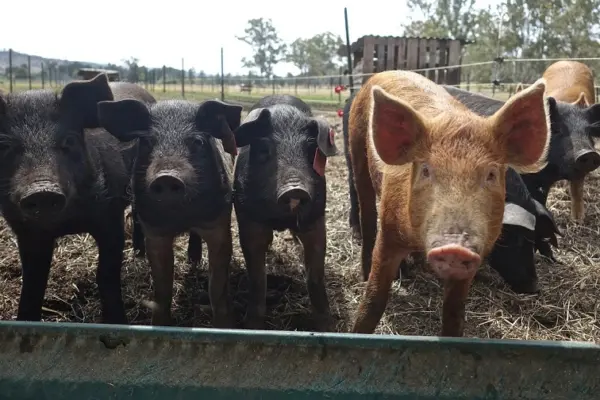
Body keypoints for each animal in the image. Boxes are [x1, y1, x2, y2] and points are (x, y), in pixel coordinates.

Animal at [0, 72, 148, 324]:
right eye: (4, 144)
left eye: (68, 141)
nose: (42, 190)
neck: (68, 224)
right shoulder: (25, 231)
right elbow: (33, 281)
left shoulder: (111, 216)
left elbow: (106, 273)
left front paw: (117, 323)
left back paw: (140, 254)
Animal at [96, 97, 241, 328]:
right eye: (148, 142)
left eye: (197, 141)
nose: (167, 176)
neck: (180, 217)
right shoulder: (154, 231)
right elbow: (162, 286)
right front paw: (160, 324)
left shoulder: (219, 224)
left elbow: (216, 285)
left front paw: (224, 326)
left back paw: (194, 259)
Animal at [233, 94, 338, 332]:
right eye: (264, 149)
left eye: (310, 149)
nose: (295, 188)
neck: (281, 218)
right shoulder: (249, 219)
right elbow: (257, 278)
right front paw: (251, 326)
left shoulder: (315, 218)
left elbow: (315, 276)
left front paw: (327, 327)